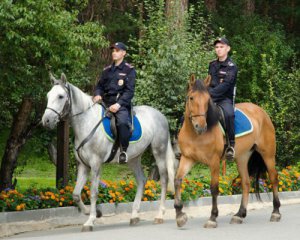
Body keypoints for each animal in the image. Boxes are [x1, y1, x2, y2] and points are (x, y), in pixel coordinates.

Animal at [42, 73, 178, 231]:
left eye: (60, 96)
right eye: (48, 95)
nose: (46, 121)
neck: (87, 123)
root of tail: (161, 116)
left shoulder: (96, 164)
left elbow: (93, 192)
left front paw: (90, 220)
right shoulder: (83, 165)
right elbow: (76, 194)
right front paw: (94, 213)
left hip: (159, 152)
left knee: (164, 179)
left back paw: (159, 215)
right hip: (133, 158)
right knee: (141, 180)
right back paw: (134, 216)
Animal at [173, 75, 282, 229]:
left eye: (207, 99)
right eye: (191, 98)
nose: (201, 126)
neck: (195, 135)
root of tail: (261, 111)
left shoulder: (214, 161)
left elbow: (214, 188)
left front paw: (212, 218)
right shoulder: (188, 158)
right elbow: (177, 180)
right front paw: (179, 215)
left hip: (268, 154)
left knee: (273, 178)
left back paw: (276, 212)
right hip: (242, 157)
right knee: (246, 183)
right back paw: (239, 214)